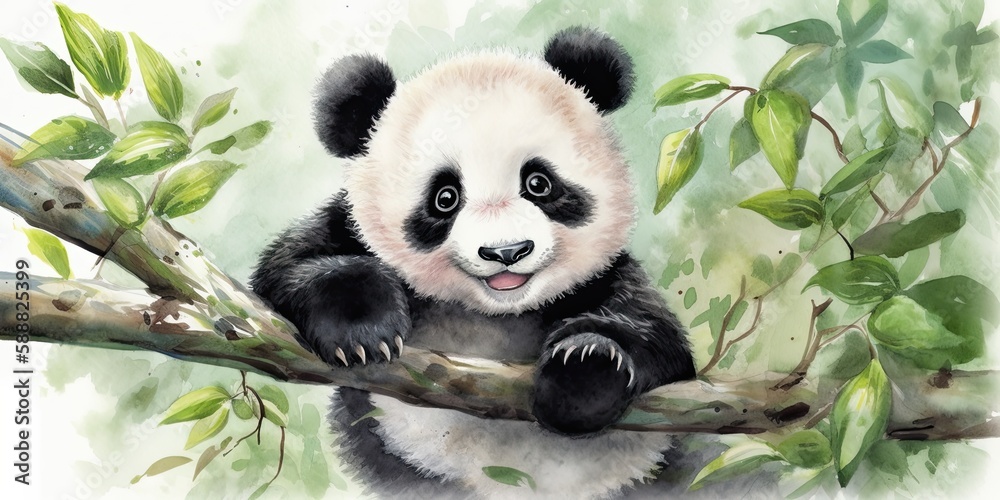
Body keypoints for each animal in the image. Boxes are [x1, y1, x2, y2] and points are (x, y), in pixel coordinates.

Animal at [250, 27, 696, 498]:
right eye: (445, 197)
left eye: (538, 183)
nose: (506, 252)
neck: (491, 316)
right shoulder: (345, 226)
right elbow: (285, 268)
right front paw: (362, 331)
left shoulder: (606, 276)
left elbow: (658, 336)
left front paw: (585, 369)